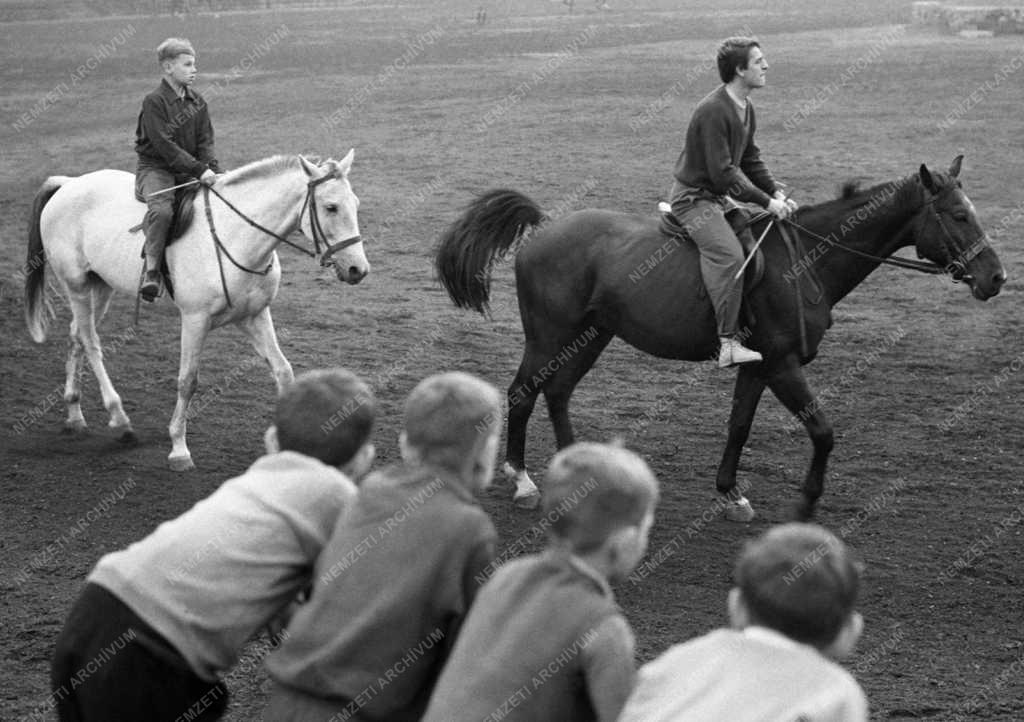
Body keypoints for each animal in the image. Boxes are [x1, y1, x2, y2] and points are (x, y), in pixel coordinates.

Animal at [24, 150, 370, 473]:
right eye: (331, 207)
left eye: (355, 203)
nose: (358, 269)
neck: (235, 236)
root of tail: (68, 184)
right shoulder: (194, 320)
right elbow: (187, 380)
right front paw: (179, 448)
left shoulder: (254, 316)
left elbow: (283, 370)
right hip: (77, 286)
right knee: (91, 342)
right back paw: (120, 419)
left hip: (100, 288)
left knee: (76, 336)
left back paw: (74, 414)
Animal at [434, 156, 1007, 518]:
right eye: (959, 214)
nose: (997, 277)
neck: (805, 259)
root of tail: (544, 227)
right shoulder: (782, 364)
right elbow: (823, 431)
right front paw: (805, 502)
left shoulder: (759, 367)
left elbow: (739, 427)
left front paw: (731, 494)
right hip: (549, 336)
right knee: (522, 393)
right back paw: (524, 481)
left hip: (592, 336)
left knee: (556, 392)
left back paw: (579, 470)